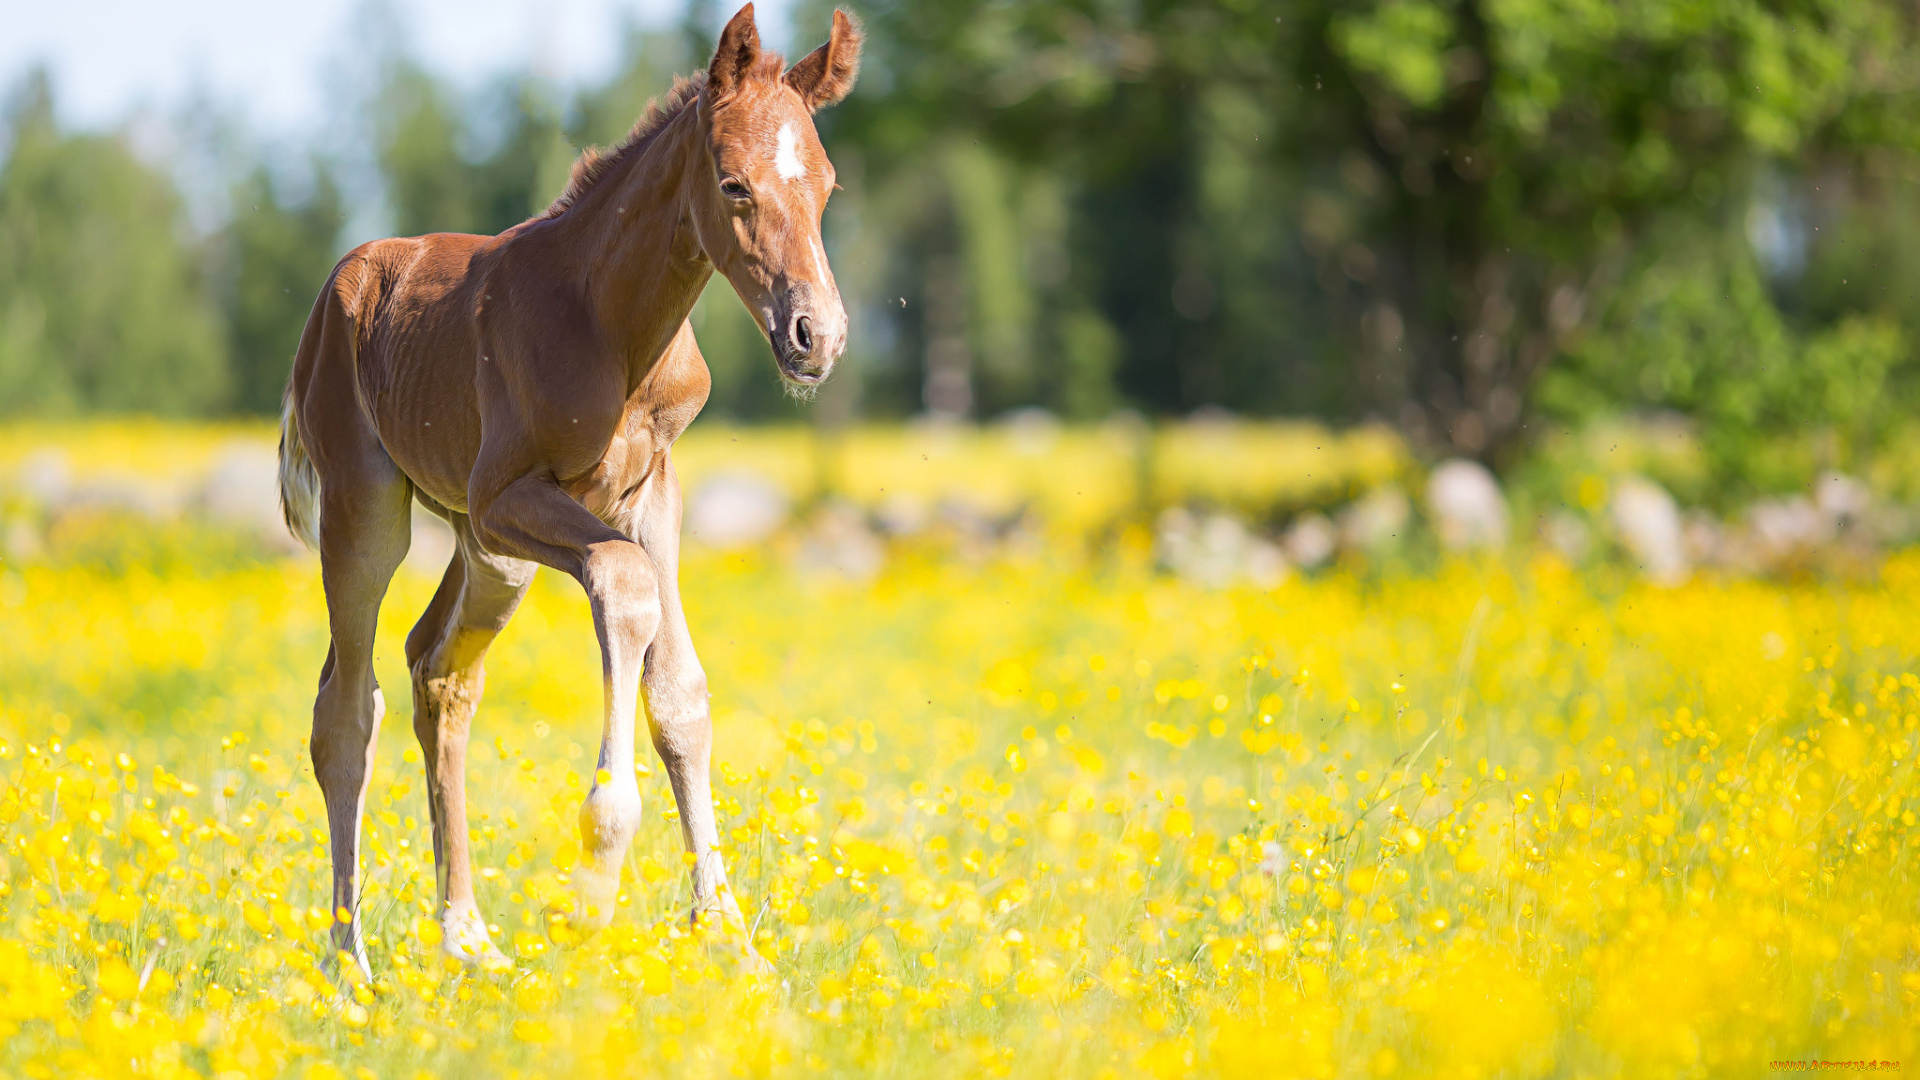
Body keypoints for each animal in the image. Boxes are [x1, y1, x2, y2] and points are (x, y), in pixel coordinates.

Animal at [280, 2, 864, 976]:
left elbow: (680, 693)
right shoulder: (507, 496)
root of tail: (337, 291)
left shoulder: (651, 491)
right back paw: (348, 963)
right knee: (345, 709)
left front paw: (728, 936)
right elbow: (626, 591)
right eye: (734, 185)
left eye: (825, 188)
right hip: (372, 510)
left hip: (490, 557)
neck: (611, 321)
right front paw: (593, 890)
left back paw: (467, 937)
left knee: (438, 672)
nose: (814, 336)